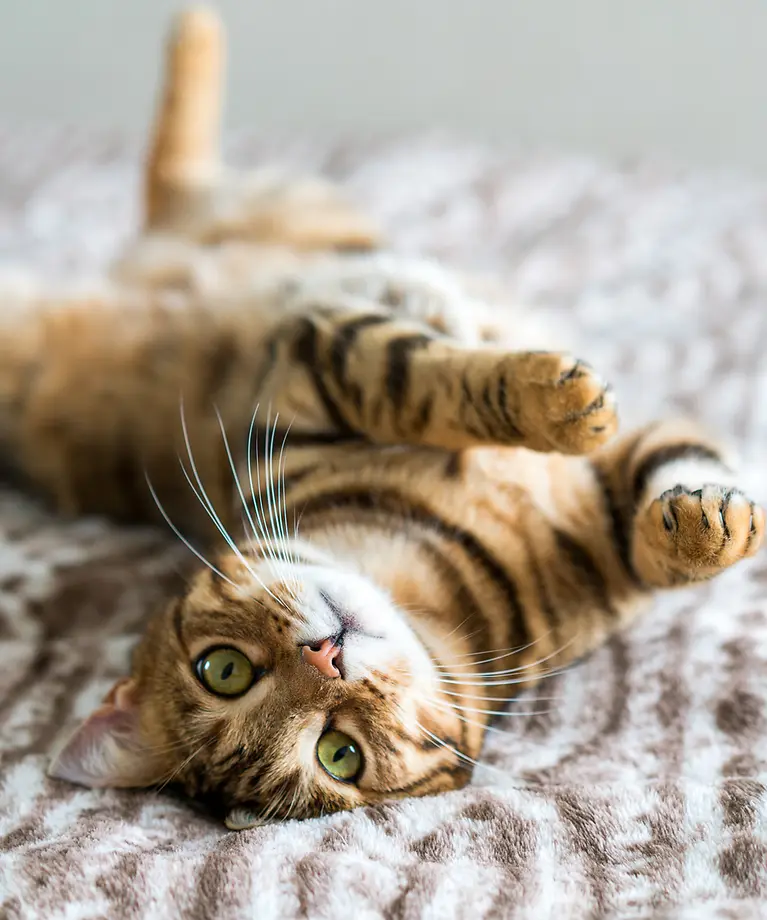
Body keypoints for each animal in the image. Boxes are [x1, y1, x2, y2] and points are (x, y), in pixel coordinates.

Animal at [3, 9, 760, 828]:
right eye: (339, 754)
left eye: (221, 670)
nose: (327, 657)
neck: (426, 575)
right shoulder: (311, 358)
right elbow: (422, 380)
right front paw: (563, 403)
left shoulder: (312, 362)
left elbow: (668, 520)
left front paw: (703, 519)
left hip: (283, 209)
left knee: (179, 171)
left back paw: (194, 29)